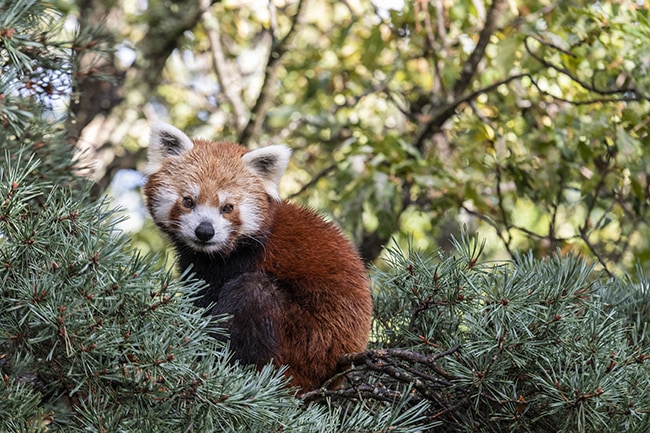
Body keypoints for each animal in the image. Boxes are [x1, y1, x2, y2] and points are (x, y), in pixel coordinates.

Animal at [144, 123, 372, 390]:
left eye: (227, 208)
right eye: (188, 201)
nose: (205, 231)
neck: (214, 254)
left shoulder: (241, 261)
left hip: (309, 344)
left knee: (253, 293)